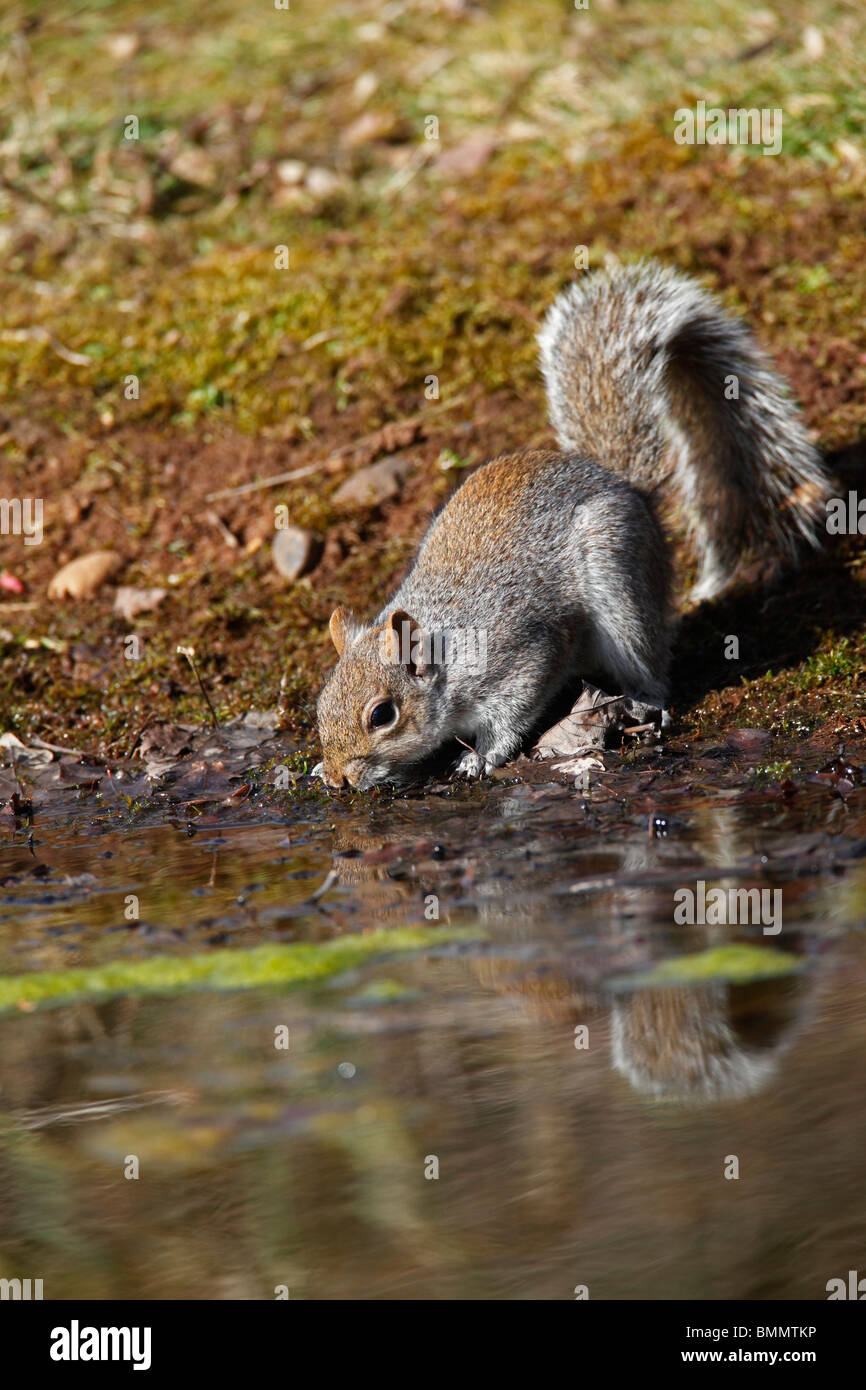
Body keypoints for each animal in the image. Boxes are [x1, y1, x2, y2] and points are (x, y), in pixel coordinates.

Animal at [312, 255, 834, 789]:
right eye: (320, 704)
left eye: (382, 715)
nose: (338, 779)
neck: (448, 651)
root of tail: (626, 487)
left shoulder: (520, 658)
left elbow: (511, 715)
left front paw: (480, 757)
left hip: (618, 582)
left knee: (648, 661)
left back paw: (648, 702)